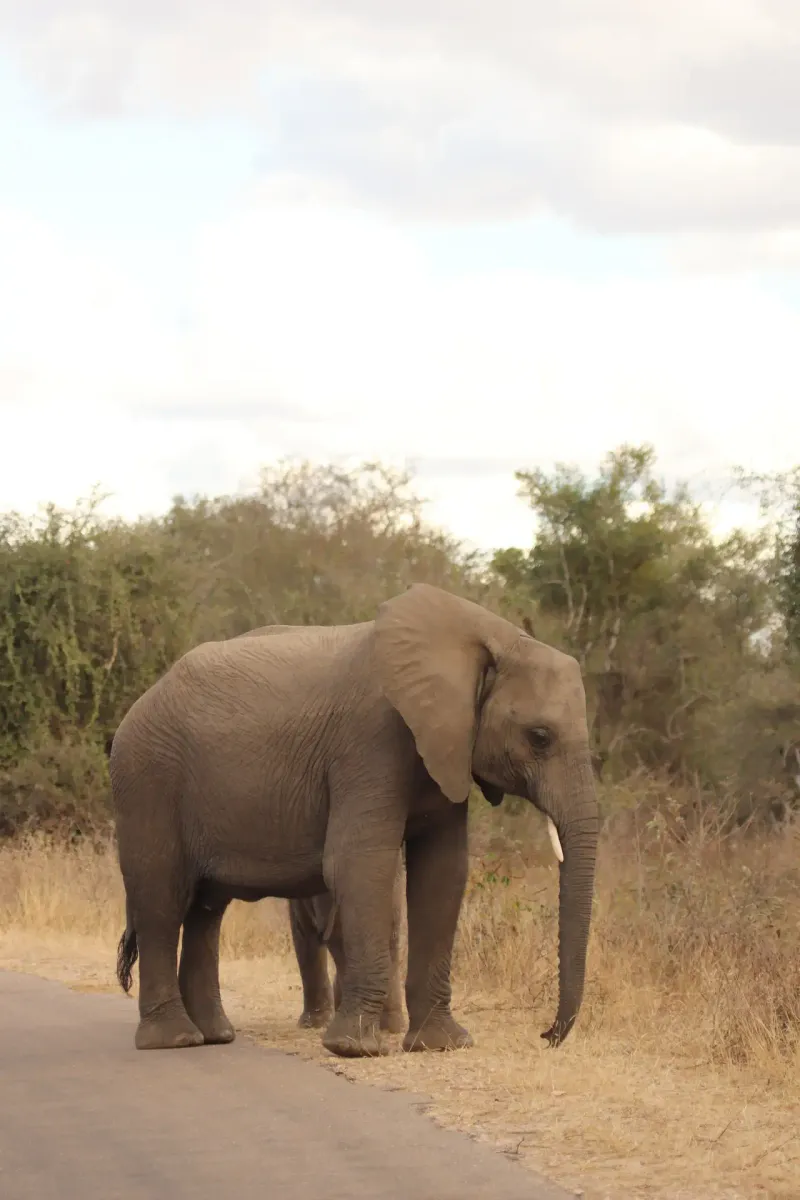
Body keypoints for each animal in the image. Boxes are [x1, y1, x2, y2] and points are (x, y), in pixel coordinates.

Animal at [111, 583, 599, 1058]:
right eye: (540, 737)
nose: (547, 1035)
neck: (488, 636)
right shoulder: (372, 740)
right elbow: (360, 863)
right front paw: (354, 1049)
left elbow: (443, 872)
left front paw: (441, 1045)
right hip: (147, 778)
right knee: (162, 899)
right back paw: (175, 1040)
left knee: (206, 910)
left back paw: (214, 1036)